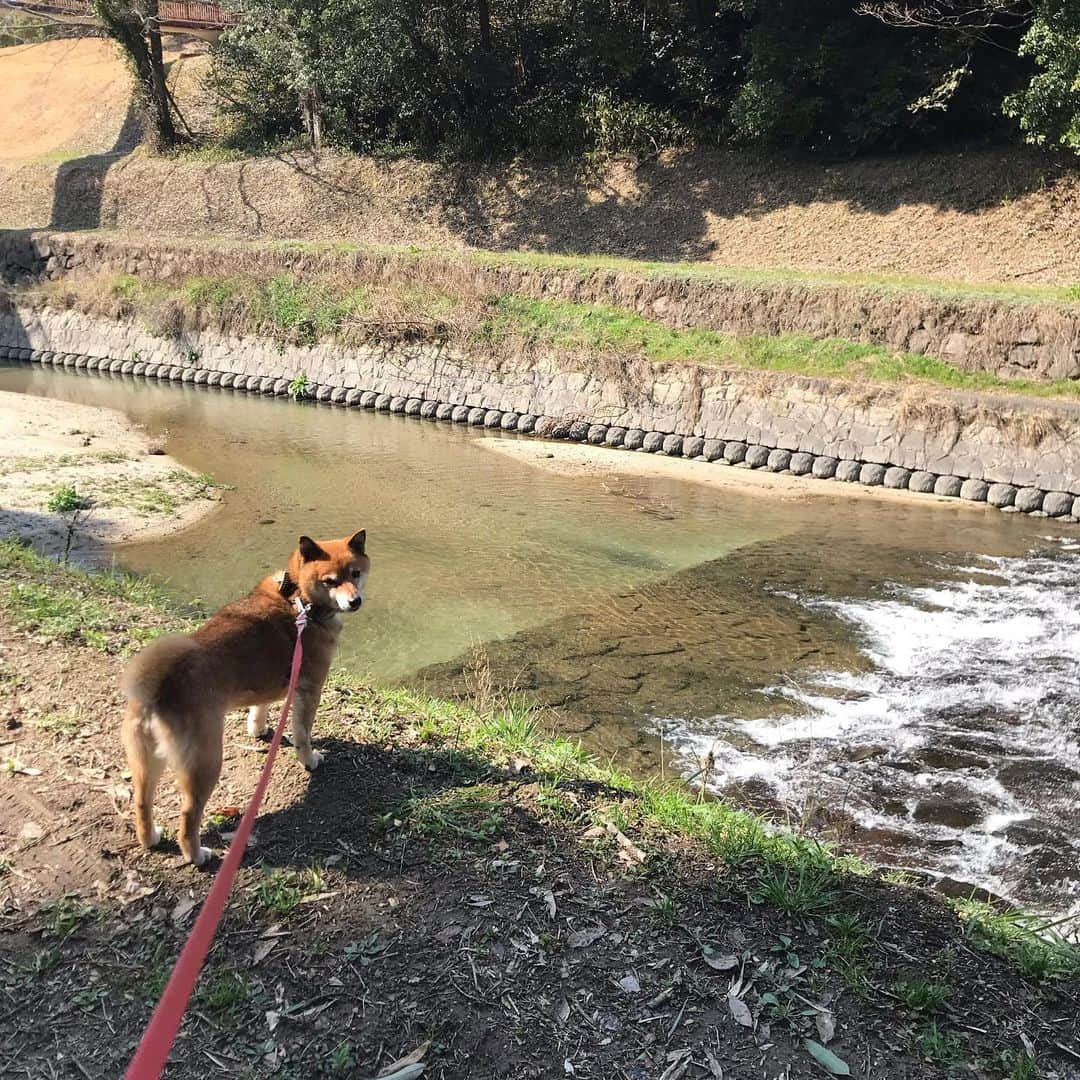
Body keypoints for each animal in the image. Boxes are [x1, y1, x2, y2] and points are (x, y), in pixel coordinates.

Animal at [120, 533, 369, 868]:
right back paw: (196, 854)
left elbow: (259, 709)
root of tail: (158, 687)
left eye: (355, 573)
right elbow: (303, 734)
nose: (355, 601)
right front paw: (310, 759)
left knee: (142, 802)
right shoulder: (310, 689)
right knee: (188, 815)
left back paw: (151, 838)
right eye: (330, 581)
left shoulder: (268, 686)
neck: (298, 599)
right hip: (205, 763)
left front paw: (258, 730)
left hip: (146, 762)